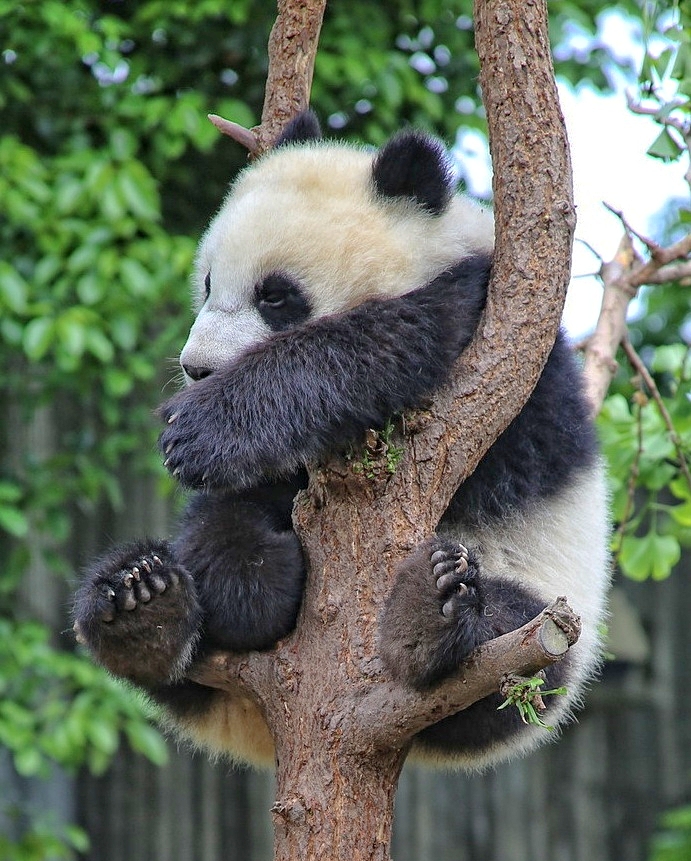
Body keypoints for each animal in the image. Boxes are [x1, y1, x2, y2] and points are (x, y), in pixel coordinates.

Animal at [71, 112, 612, 764]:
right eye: (207, 283)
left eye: (275, 295)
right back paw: (148, 605)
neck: (437, 250)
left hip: (552, 598)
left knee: (508, 644)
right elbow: (237, 496)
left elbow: (381, 342)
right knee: (179, 560)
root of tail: (253, 725)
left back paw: (425, 617)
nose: (198, 368)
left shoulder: (492, 338)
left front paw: (202, 428)